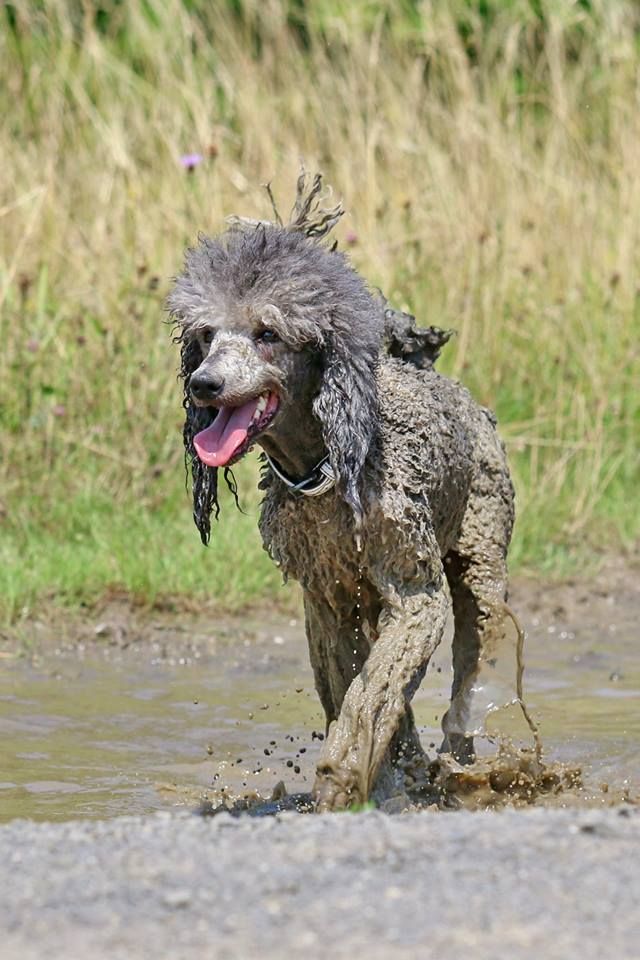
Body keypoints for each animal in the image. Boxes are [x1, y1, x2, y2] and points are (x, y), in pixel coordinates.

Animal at [169, 174, 516, 808]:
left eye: (267, 334)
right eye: (205, 336)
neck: (326, 467)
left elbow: (373, 689)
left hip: (480, 562)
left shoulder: (416, 593)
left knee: (469, 661)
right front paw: (377, 773)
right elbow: (357, 683)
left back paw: (458, 760)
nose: (204, 384)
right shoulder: (328, 599)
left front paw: (343, 772)